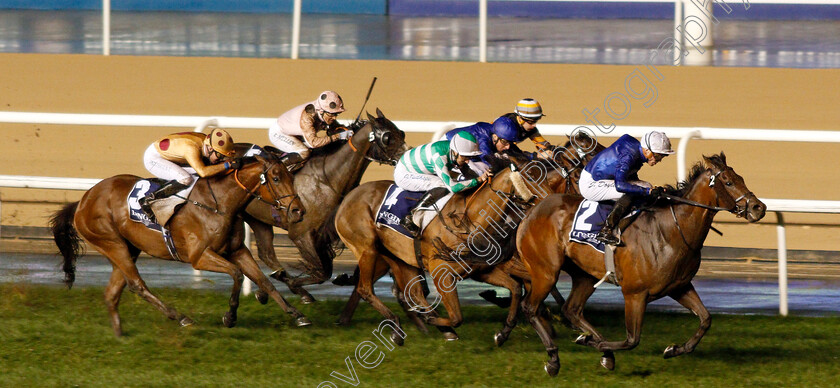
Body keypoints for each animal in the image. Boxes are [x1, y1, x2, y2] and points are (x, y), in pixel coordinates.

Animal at [47, 155, 308, 336]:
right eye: (276, 178)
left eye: (291, 177)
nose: (298, 211)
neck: (219, 203)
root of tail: (82, 201)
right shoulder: (200, 256)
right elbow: (236, 274)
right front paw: (230, 316)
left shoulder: (238, 250)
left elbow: (263, 280)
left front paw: (297, 314)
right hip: (112, 244)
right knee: (137, 285)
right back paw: (181, 317)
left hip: (128, 248)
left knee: (113, 292)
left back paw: (120, 334)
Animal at [238, 108, 408, 304]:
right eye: (387, 137)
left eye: (401, 132)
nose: (407, 156)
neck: (327, 179)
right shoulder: (301, 233)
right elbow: (322, 273)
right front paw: (297, 288)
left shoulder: (334, 231)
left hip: (257, 219)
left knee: (266, 254)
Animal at [516, 153, 764, 374]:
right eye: (729, 182)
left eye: (741, 178)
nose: (758, 208)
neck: (672, 231)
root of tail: (532, 211)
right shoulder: (634, 294)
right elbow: (632, 340)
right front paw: (591, 343)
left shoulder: (680, 286)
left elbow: (705, 319)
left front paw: (674, 349)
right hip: (546, 271)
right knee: (530, 307)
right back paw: (554, 358)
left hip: (584, 275)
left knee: (572, 310)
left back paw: (601, 351)